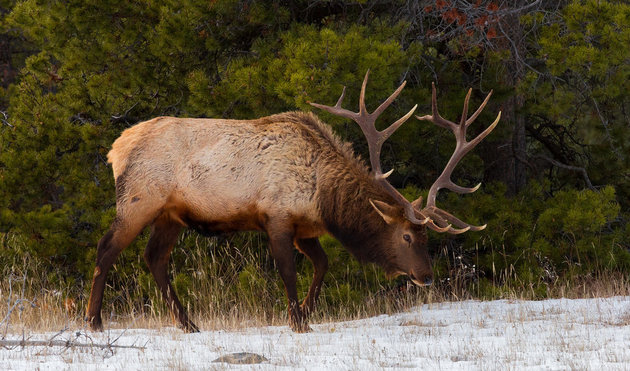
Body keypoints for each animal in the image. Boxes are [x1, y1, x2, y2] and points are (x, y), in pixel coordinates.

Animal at [87, 71, 504, 332]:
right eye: (406, 236)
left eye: (427, 238)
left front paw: (305, 312)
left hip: (171, 215)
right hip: (138, 200)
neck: (324, 198)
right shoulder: (277, 216)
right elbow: (288, 270)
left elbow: (322, 266)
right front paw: (297, 320)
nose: (426, 276)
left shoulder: (307, 229)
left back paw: (189, 324)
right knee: (106, 249)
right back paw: (94, 321)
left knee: (154, 258)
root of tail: (115, 149)